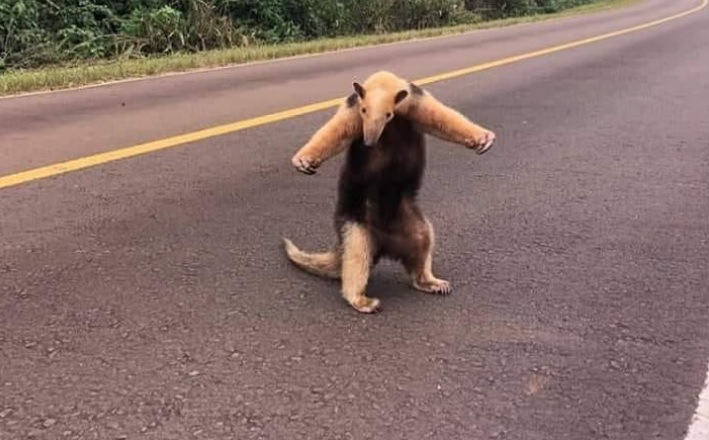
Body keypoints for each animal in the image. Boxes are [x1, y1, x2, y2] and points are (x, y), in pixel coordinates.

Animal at [283, 70, 496, 314]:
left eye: (388, 115)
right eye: (364, 111)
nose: (368, 142)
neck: (383, 84)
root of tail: (384, 244)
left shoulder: (415, 102)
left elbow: (441, 118)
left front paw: (484, 140)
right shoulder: (353, 108)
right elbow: (336, 131)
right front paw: (303, 162)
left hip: (413, 224)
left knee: (423, 242)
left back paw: (433, 283)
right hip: (355, 222)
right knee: (357, 254)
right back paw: (363, 301)